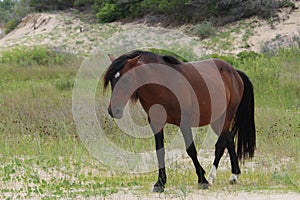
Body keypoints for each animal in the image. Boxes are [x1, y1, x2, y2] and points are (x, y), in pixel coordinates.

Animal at [103, 50, 255, 192]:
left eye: (127, 79)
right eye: (111, 81)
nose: (113, 110)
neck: (162, 86)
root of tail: (235, 72)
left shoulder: (184, 122)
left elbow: (191, 150)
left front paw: (202, 179)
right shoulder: (156, 124)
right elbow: (160, 151)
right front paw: (160, 183)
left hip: (225, 117)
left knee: (221, 144)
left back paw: (212, 177)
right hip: (216, 121)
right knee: (229, 139)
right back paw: (234, 175)